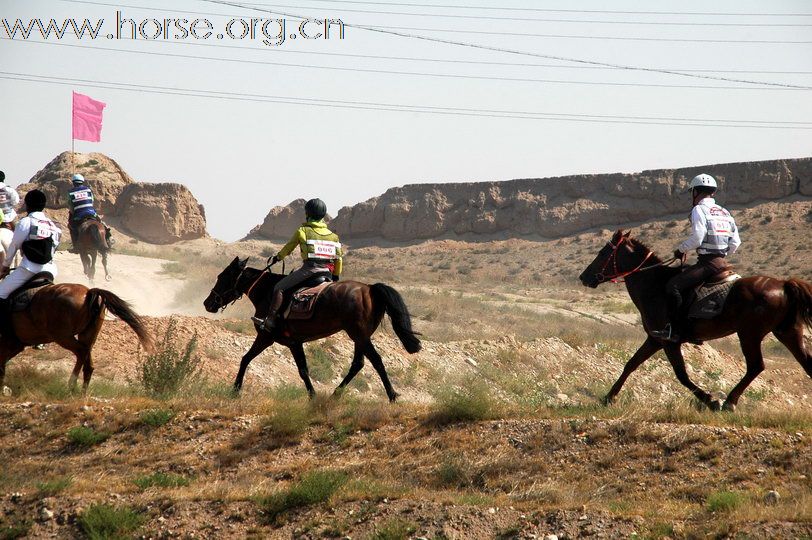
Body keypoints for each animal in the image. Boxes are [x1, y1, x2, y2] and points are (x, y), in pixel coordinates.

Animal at [0, 284, 153, 394]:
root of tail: (89, 292)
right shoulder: (13, 346)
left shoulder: (8, 345)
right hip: (87, 336)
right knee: (87, 360)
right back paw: (82, 392)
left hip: (63, 337)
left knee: (81, 352)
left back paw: (71, 385)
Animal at [203, 258, 422, 400]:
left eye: (222, 277)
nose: (207, 303)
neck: (267, 292)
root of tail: (370, 288)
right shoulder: (294, 342)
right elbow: (300, 369)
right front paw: (313, 396)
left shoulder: (269, 337)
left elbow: (248, 359)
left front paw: (235, 390)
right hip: (360, 336)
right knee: (358, 364)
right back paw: (336, 394)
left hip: (359, 335)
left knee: (376, 361)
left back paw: (392, 395)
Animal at [576, 230, 812, 412]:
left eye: (603, 253)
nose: (583, 277)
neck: (653, 285)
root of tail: (783, 285)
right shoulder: (654, 340)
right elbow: (631, 364)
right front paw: (609, 397)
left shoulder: (668, 341)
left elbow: (681, 375)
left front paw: (710, 400)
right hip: (787, 332)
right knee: (806, 364)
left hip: (750, 335)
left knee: (756, 366)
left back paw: (729, 402)